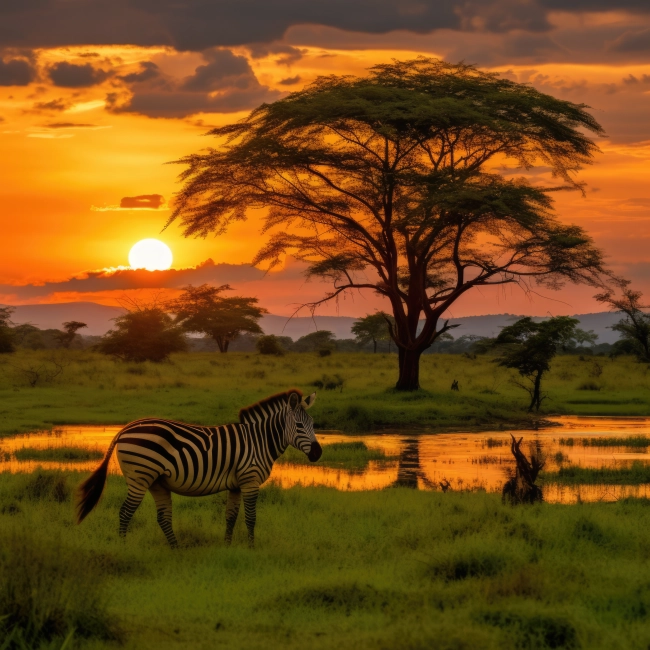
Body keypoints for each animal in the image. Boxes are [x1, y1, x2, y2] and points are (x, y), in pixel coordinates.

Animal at [76, 390, 318, 548]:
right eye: (299, 426)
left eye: (314, 424)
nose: (318, 453)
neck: (259, 440)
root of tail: (125, 428)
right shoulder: (250, 480)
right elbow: (251, 517)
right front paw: (251, 548)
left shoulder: (236, 484)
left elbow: (231, 516)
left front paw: (227, 546)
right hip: (140, 476)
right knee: (126, 512)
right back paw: (123, 546)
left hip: (157, 481)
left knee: (163, 517)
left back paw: (177, 549)